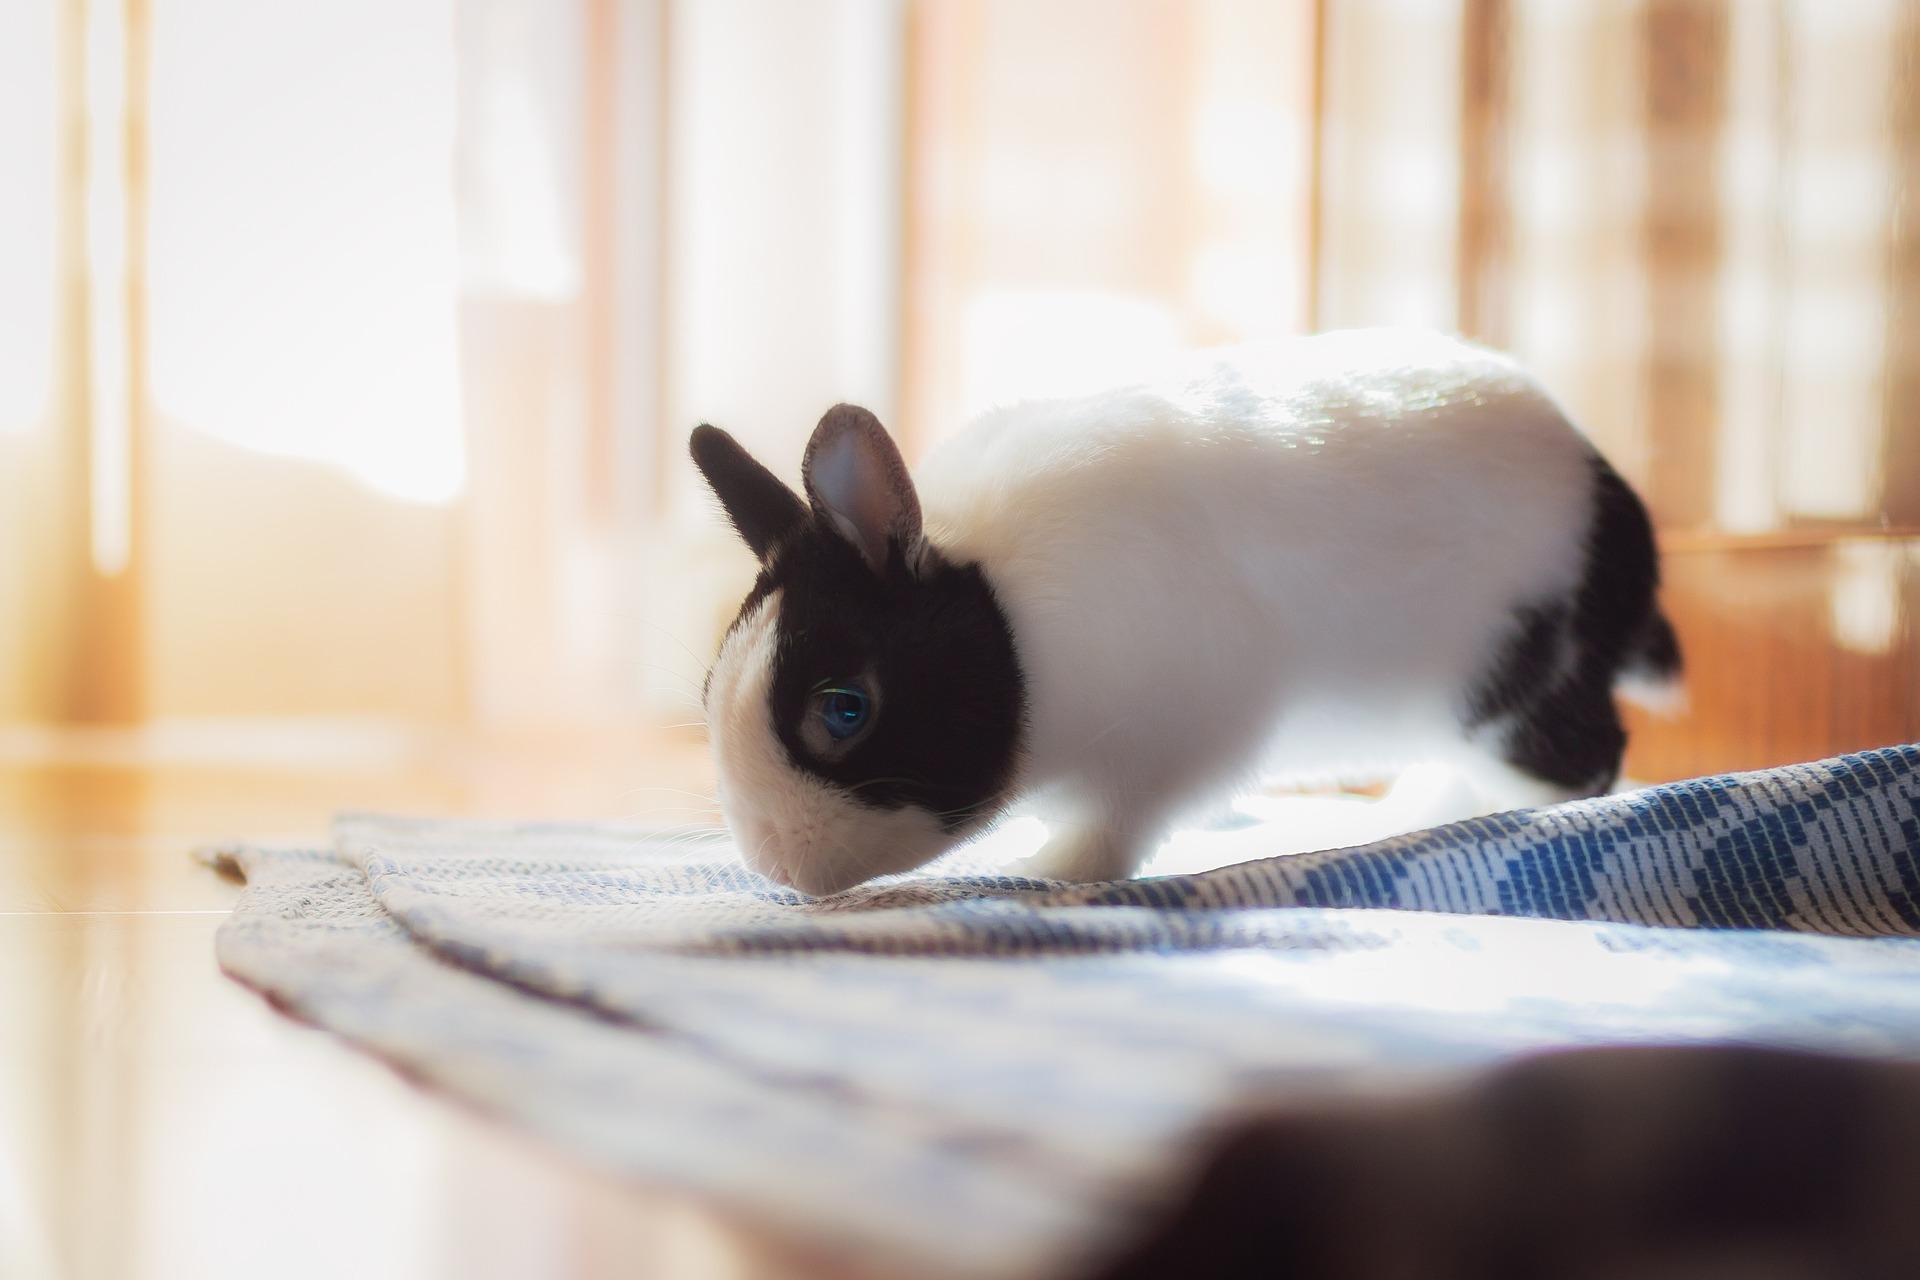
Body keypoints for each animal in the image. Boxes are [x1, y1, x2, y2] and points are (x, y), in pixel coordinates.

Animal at [691, 326, 1681, 898]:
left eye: (844, 710)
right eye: (707, 693)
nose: (775, 867)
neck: (1008, 616)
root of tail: (1619, 513)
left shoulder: (1181, 736)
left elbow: (1117, 827)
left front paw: (1040, 871)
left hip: (1513, 688)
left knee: (1589, 759)